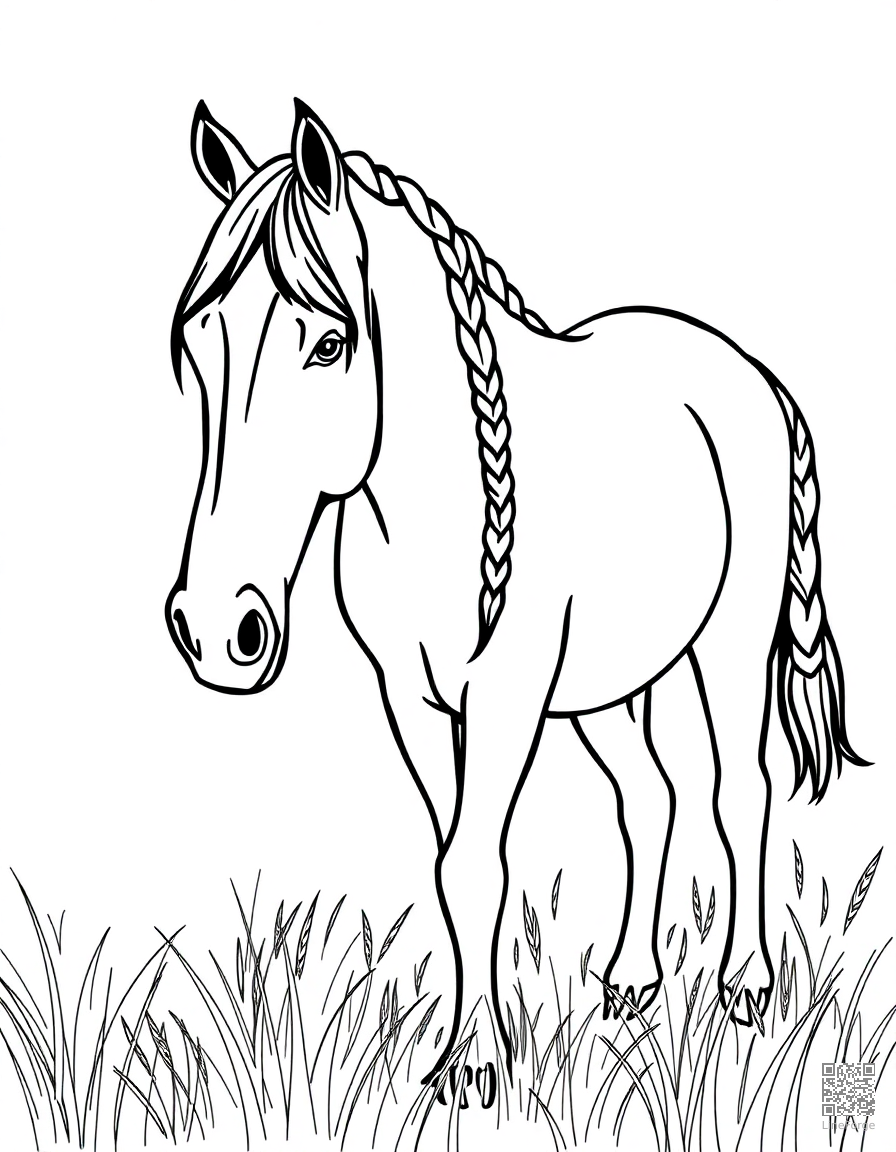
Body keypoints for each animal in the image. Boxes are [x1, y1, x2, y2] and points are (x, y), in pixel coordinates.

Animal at [165, 98, 865, 1096]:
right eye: (196, 343)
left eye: (329, 343)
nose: (219, 629)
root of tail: (748, 372)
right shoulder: (413, 700)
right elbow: (453, 863)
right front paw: (469, 1050)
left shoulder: (505, 696)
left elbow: (476, 862)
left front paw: (476, 1062)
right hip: (610, 682)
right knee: (650, 798)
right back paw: (631, 983)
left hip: (728, 644)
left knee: (742, 793)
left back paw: (746, 987)